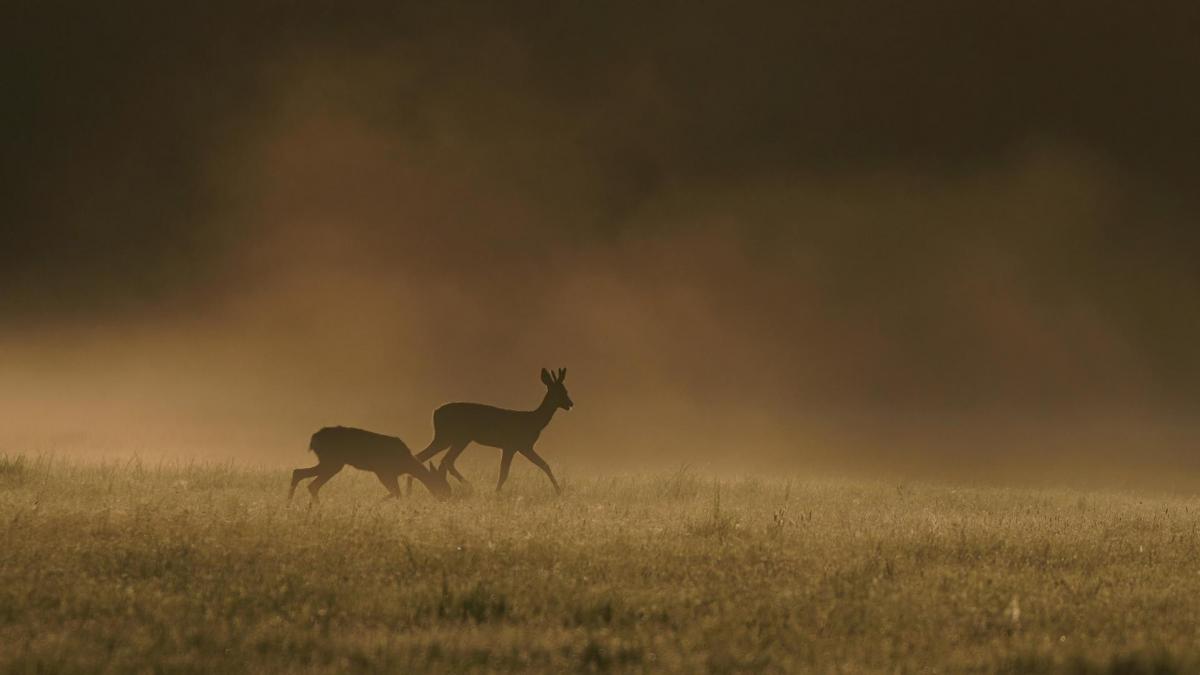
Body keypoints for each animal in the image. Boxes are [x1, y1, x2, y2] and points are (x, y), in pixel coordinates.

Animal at [289, 425, 451, 499]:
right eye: (442, 486)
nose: (446, 498)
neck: (405, 463)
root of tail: (313, 439)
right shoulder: (382, 471)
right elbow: (397, 493)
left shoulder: (389, 474)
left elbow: (396, 493)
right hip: (332, 461)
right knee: (310, 483)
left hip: (330, 462)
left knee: (301, 476)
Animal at [410, 365, 573, 492]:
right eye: (560, 391)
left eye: (565, 390)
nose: (570, 404)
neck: (533, 421)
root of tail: (435, 412)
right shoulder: (517, 445)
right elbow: (506, 472)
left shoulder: (517, 447)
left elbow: (542, 465)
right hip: (449, 437)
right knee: (435, 459)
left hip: (457, 438)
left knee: (442, 460)